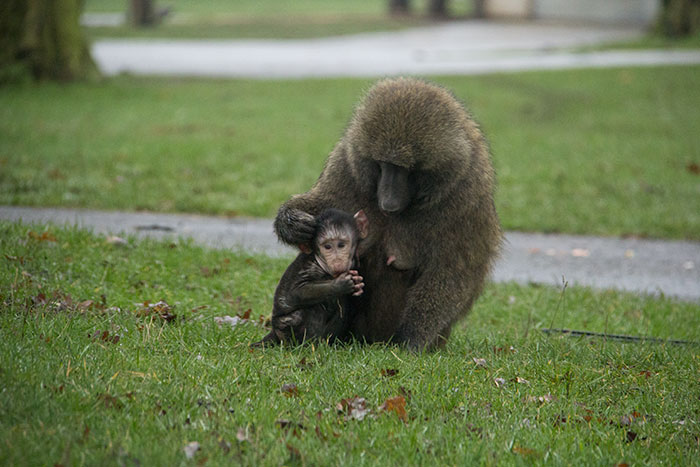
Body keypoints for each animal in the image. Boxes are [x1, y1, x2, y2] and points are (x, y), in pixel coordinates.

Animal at [253, 209, 369, 347]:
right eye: (327, 247)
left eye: (341, 245)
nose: (337, 261)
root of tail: (274, 332)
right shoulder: (310, 266)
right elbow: (297, 291)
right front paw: (340, 285)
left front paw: (357, 284)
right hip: (285, 329)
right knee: (314, 308)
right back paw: (310, 345)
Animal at [273, 77, 502, 351]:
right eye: (382, 164)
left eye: (405, 170)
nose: (388, 202)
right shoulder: (347, 164)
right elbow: (323, 205)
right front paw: (292, 222)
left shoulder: (467, 194)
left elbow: (452, 271)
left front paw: (410, 340)